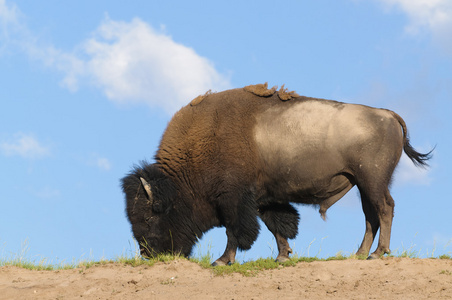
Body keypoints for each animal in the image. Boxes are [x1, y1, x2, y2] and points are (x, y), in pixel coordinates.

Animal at [121, 82, 430, 264]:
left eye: (149, 215)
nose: (148, 253)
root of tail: (388, 115)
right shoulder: (264, 198)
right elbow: (277, 226)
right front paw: (283, 257)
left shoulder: (235, 200)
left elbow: (236, 231)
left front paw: (222, 260)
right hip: (362, 184)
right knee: (371, 216)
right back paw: (360, 253)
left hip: (372, 181)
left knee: (384, 208)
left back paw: (378, 253)